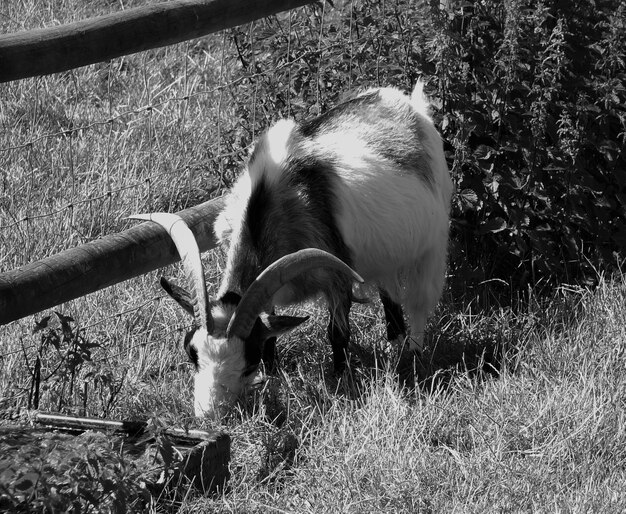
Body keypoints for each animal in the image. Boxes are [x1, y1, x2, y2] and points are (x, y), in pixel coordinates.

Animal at [133, 81, 454, 416]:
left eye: (248, 362)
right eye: (191, 352)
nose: (209, 414)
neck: (272, 196)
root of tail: (404, 101)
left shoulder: (336, 273)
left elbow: (337, 333)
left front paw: (341, 381)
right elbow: (272, 334)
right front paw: (272, 376)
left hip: (432, 243)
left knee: (419, 300)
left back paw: (413, 351)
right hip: (386, 251)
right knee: (389, 292)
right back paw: (395, 342)